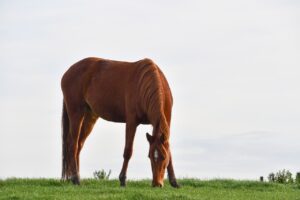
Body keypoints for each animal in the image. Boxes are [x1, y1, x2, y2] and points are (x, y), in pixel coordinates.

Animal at [61, 56, 178, 188]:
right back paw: (75, 178)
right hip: (76, 113)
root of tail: (68, 72)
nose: (157, 184)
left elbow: (169, 151)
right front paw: (122, 179)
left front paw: (174, 181)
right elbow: (128, 151)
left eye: (163, 156)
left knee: (79, 145)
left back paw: (76, 177)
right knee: (72, 145)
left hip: (89, 116)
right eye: (149, 156)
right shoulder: (131, 122)